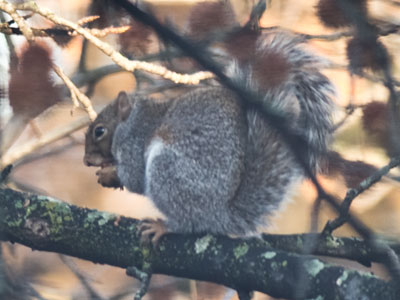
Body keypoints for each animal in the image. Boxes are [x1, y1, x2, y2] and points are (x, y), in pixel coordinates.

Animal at [83, 31, 334, 241]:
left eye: (99, 131)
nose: (85, 161)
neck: (130, 120)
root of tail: (219, 215)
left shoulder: (134, 141)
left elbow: (134, 176)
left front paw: (110, 173)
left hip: (167, 172)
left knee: (189, 223)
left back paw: (164, 226)